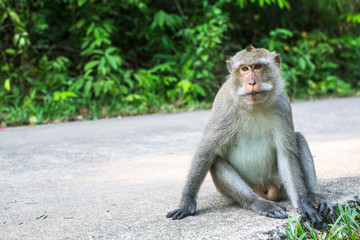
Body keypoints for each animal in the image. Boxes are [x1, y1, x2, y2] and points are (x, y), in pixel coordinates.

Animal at [167, 45, 334, 227]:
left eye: (258, 67)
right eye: (245, 69)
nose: (252, 82)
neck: (254, 104)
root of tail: (266, 188)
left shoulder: (283, 103)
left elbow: (286, 154)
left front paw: (304, 204)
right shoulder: (223, 104)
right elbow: (207, 149)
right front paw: (186, 202)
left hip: (279, 182)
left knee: (299, 139)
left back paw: (313, 196)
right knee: (216, 160)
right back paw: (257, 202)